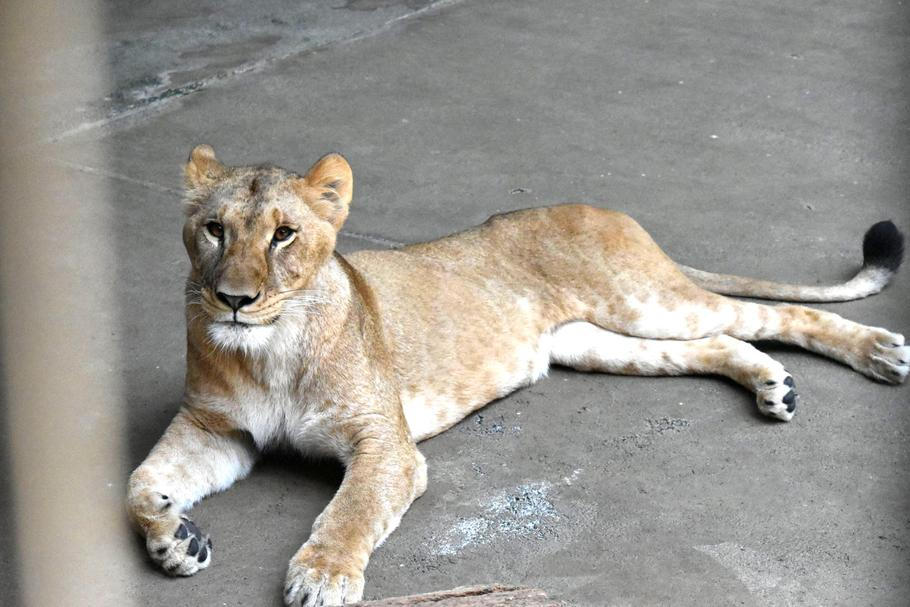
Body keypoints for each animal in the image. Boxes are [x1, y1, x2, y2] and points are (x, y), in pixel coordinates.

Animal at [127, 145, 907, 606]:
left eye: (284, 234)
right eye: (215, 229)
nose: (233, 298)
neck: (269, 348)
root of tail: (602, 207)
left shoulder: (386, 444)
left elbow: (351, 510)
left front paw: (322, 576)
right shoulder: (218, 429)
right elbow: (139, 484)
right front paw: (176, 539)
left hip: (649, 302)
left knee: (770, 312)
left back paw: (879, 353)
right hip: (600, 342)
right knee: (721, 341)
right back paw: (775, 384)